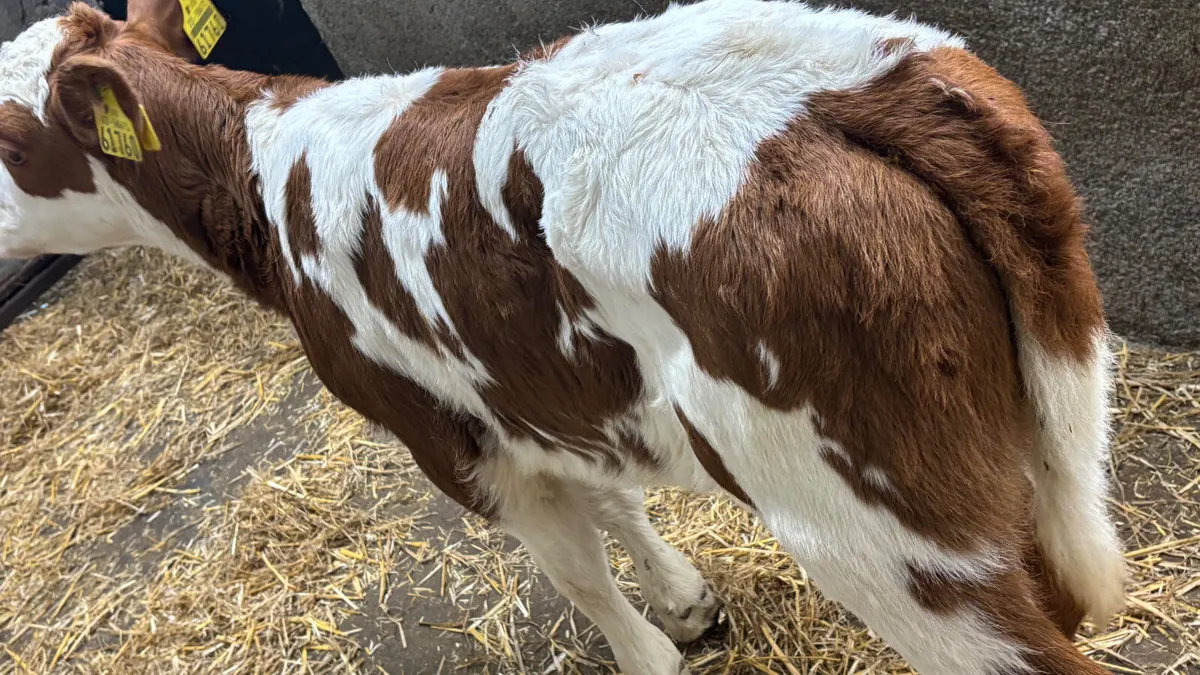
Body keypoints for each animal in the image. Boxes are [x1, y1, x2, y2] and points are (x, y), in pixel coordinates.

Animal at [0, 1, 1125, 673]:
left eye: (10, 138)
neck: (268, 178)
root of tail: (833, 85)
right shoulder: (542, 390)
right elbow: (616, 498)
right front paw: (686, 603)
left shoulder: (452, 439)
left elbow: (577, 570)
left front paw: (650, 650)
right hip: (1045, 436)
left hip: (878, 533)